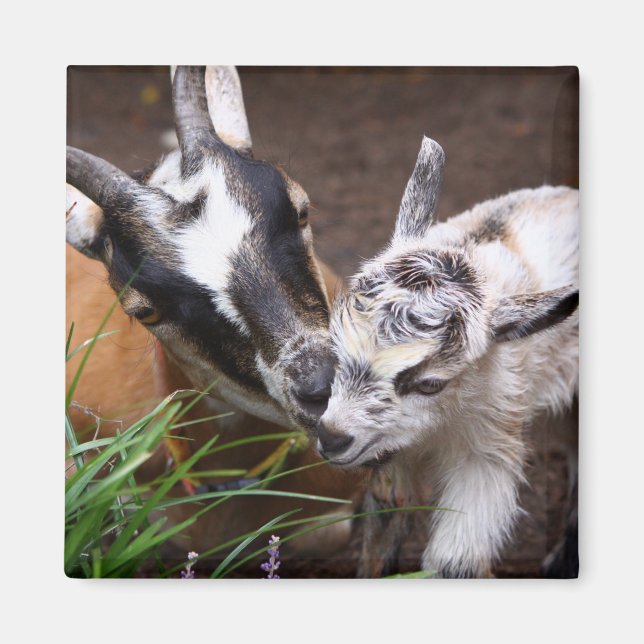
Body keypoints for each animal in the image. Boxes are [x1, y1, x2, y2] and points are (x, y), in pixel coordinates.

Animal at [318, 136, 578, 578]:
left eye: (430, 384)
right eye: (336, 349)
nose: (332, 437)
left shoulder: (489, 443)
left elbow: (456, 562)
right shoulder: (389, 451)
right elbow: (385, 518)